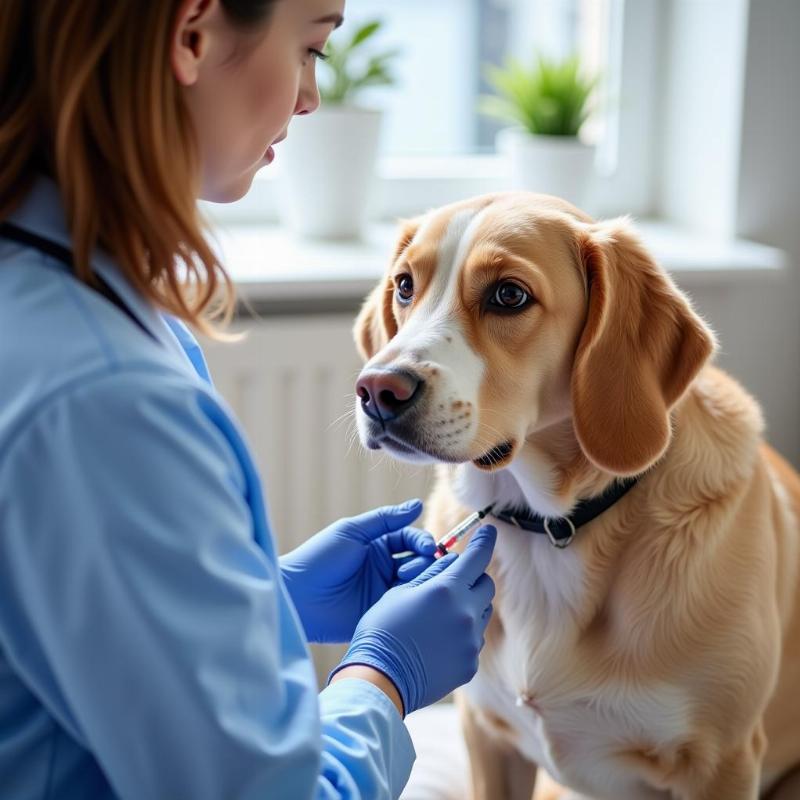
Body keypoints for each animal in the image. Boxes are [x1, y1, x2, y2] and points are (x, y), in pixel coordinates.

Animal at [354, 194, 800, 800]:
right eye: (404, 285)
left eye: (509, 295)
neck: (548, 525)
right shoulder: (486, 736)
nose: (377, 390)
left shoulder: (722, 765)